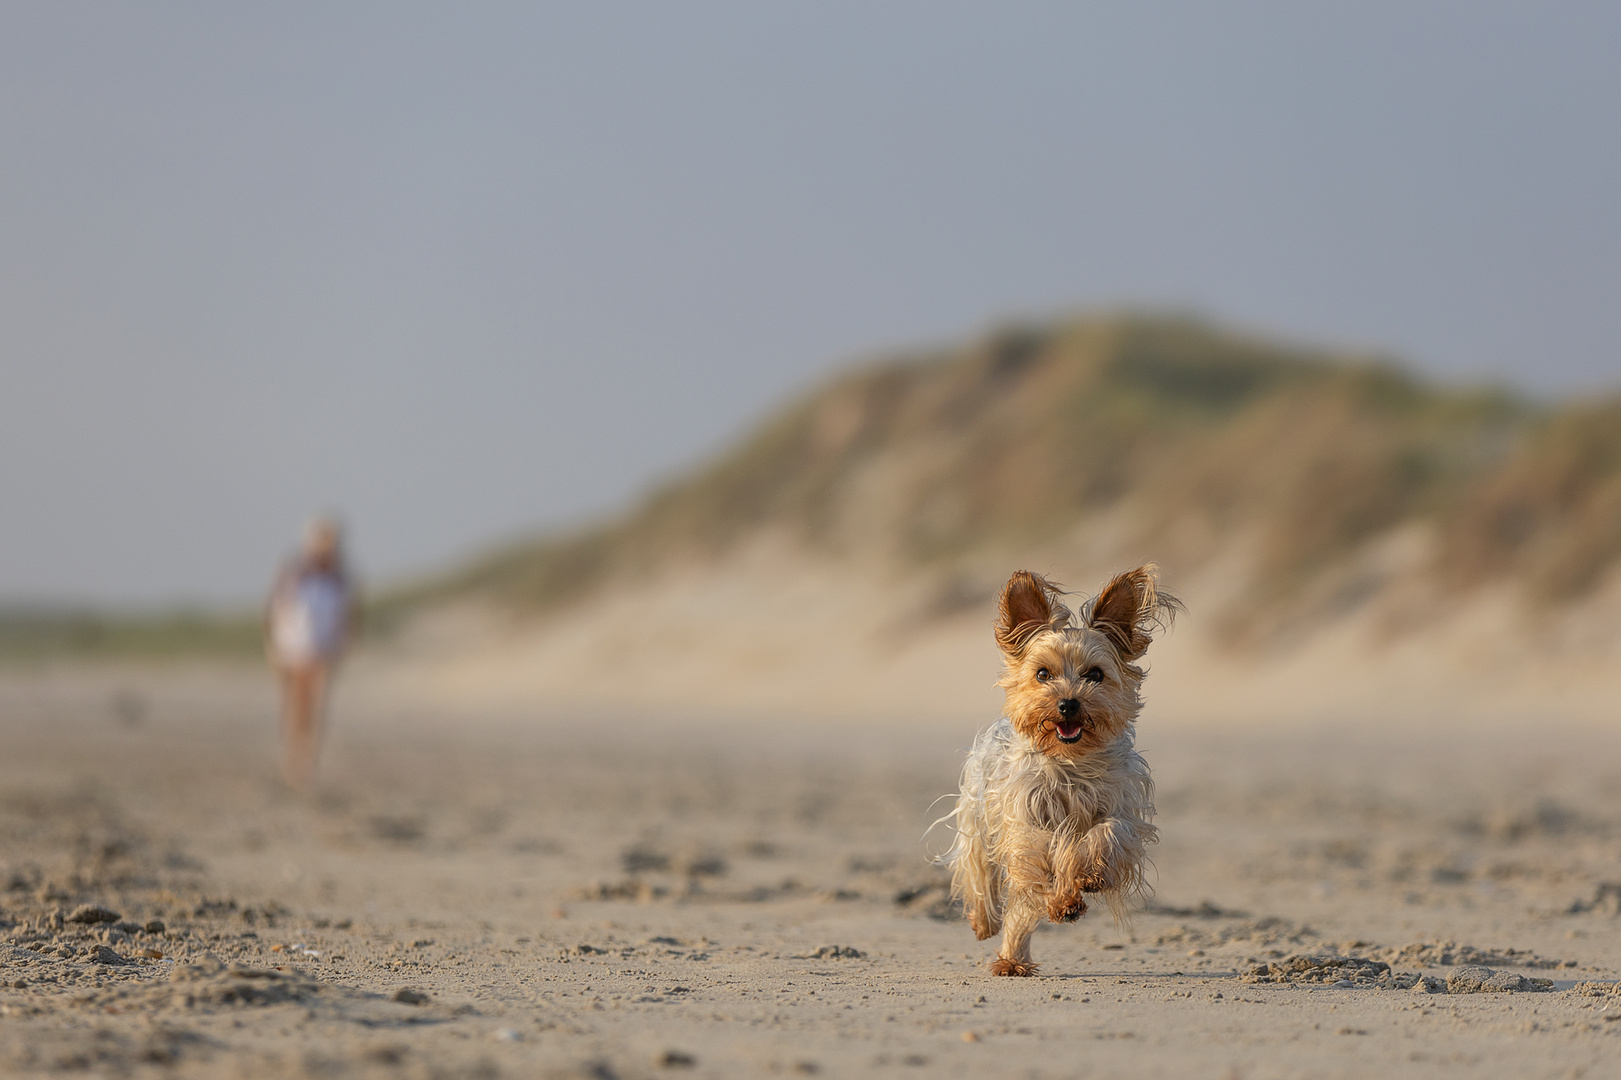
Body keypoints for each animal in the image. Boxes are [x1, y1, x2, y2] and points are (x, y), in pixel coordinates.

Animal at [940, 564, 1180, 972]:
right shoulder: (1025, 816)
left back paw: (1014, 959)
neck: (1072, 762)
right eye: (1042, 674)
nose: (1068, 703)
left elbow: (1106, 834)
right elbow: (1040, 857)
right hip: (977, 818)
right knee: (981, 877)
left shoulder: (1120, 808)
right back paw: (987, 925)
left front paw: (1089, 876)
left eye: (1095, 675)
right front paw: (1061, 899)